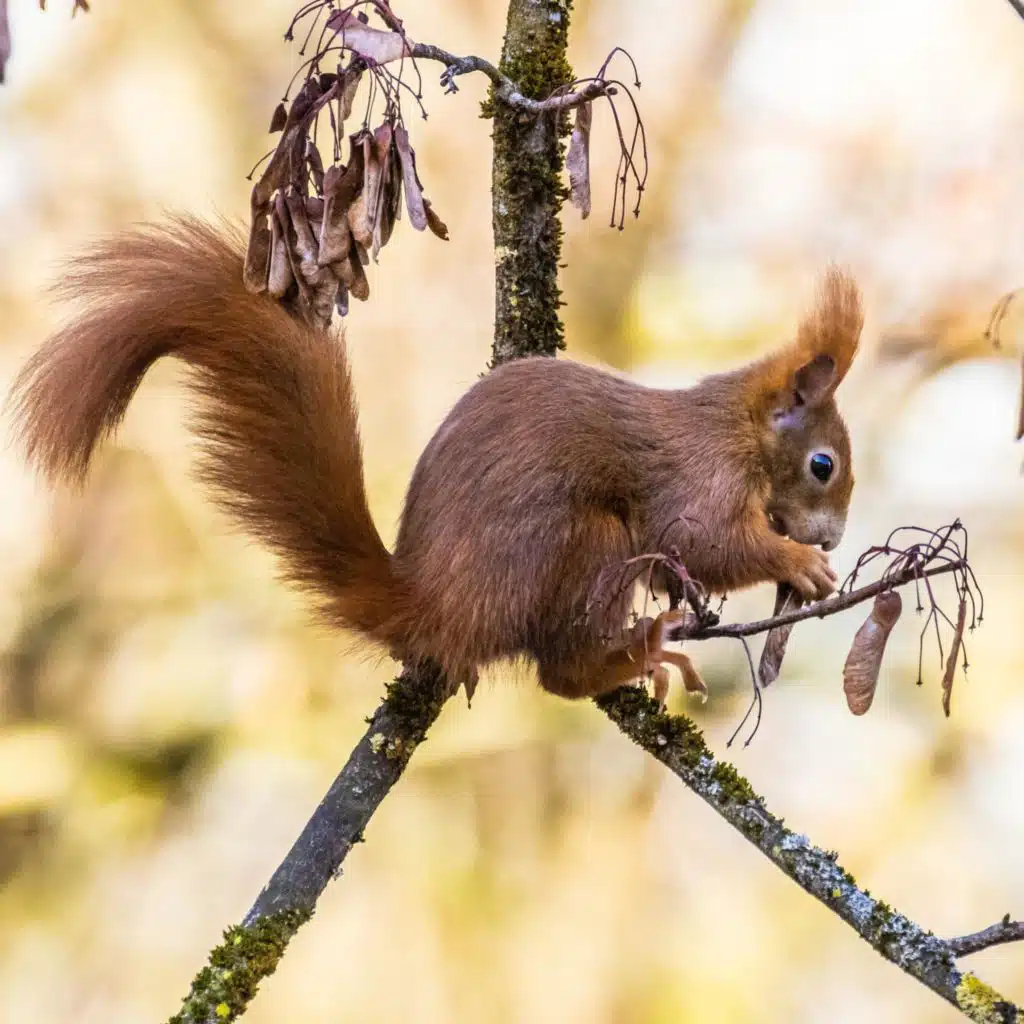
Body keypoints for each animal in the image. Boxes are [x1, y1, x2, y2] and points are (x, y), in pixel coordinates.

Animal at [9, 217, 863, 703]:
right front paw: (796, 562)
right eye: (823, 464)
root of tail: (436, 605)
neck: (737, 430)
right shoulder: (694, 477)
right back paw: (630, 656)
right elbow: (701, 541)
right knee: (557, 672)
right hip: (582, 545)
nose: (830, 537)